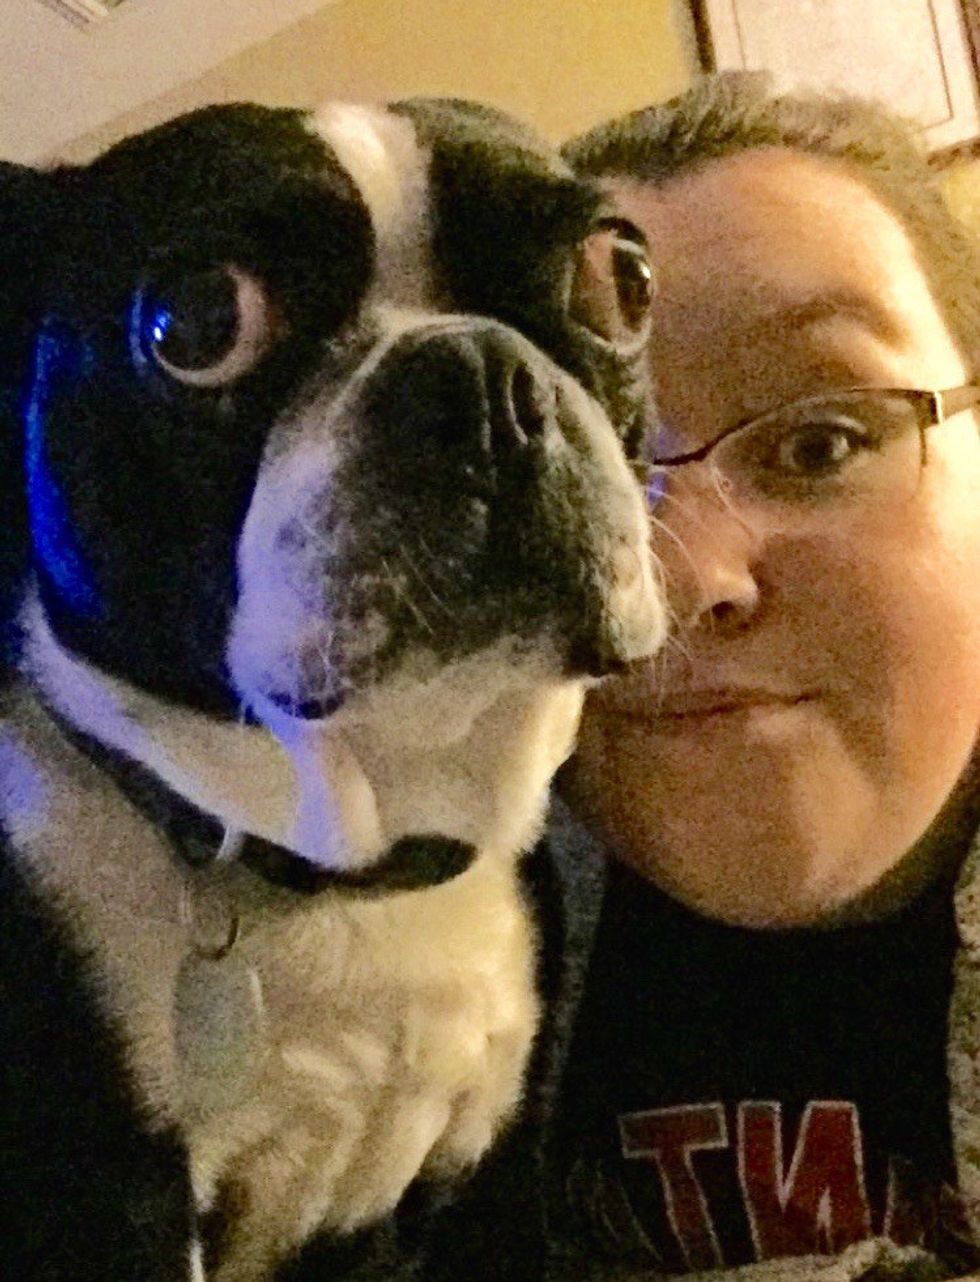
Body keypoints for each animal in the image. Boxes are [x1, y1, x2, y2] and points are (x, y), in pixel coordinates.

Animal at [0, 98, 664, 1281]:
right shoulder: (103, 1210)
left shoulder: (491, 1176)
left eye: (621, 275)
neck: (348, 870)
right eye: (199, 322)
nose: (479, 379)